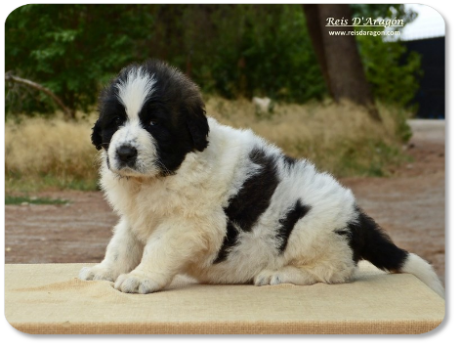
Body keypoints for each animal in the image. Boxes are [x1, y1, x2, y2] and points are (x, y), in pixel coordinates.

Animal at [80, 58, 446, 298]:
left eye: (154, 123)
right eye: (115, 122)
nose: (125, 152)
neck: (167, 172)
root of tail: (358, 217)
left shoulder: (189, 223)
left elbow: (159, 247)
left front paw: (141, 277)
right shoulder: (136, 216)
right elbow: (122, 244)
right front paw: (105, 270)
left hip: (311, 227)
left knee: (334, 271)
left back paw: (278, 275)